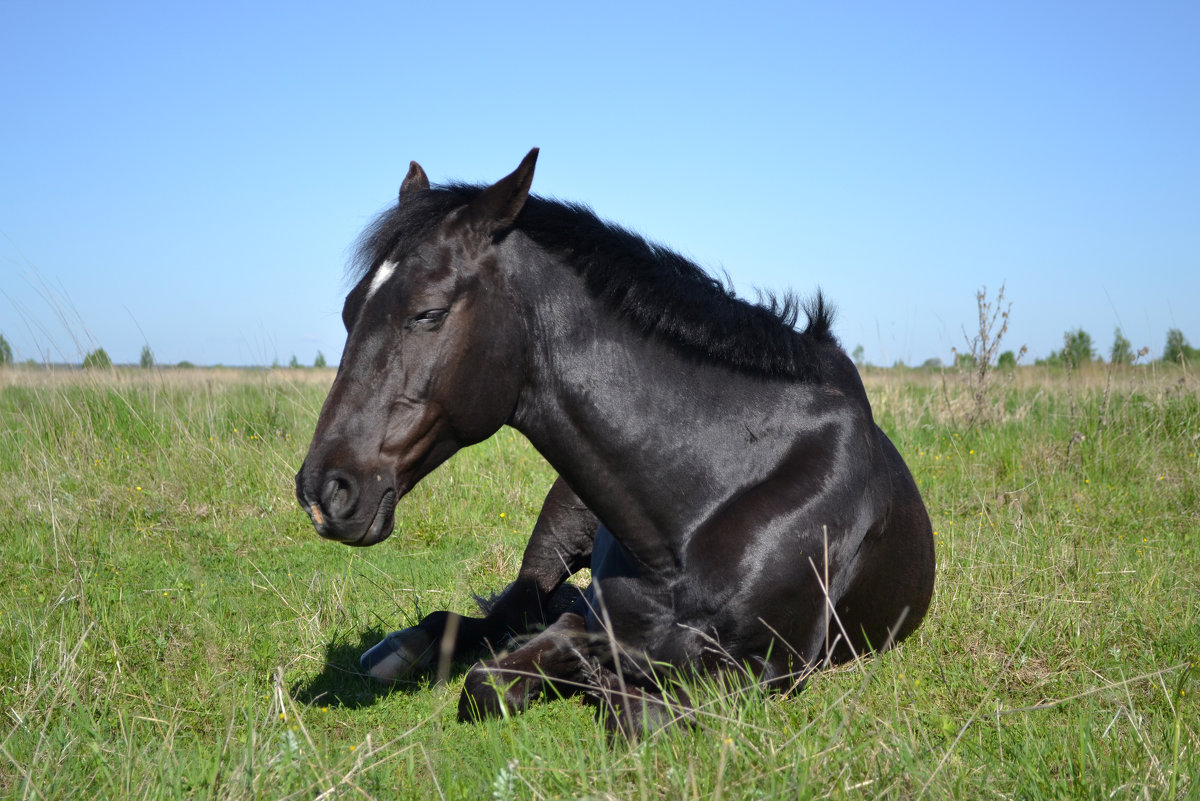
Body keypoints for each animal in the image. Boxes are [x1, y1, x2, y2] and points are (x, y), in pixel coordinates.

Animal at [295, 146, 931, 733]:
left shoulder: (766, 672)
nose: (324, 491)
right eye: (350, 312)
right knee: (514, 608)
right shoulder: (591, 618)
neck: (718, 494)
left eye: (428, 312)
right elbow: (491, 682)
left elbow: (634, 708)